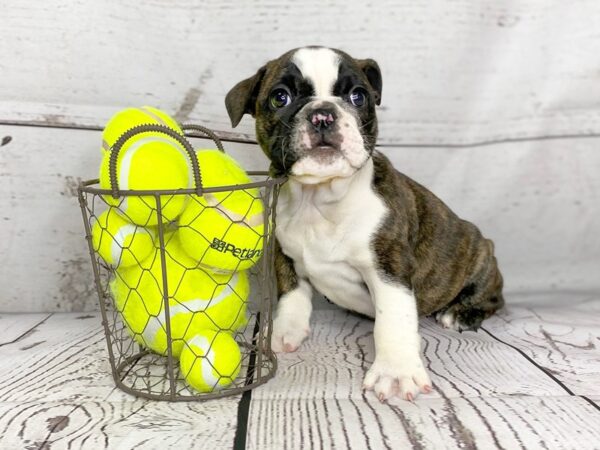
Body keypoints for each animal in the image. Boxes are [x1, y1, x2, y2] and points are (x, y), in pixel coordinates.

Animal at [224, 47, 502, 402]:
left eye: (358, 96)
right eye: (280, 97)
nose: (323, 114)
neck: (317, 198)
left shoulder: (389, 268)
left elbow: (393, 319)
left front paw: (395, 372)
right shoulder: (284, 255)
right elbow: (292, 295)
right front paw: (285, 332)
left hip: (480, 253)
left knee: (493, 297)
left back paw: (463, 312)